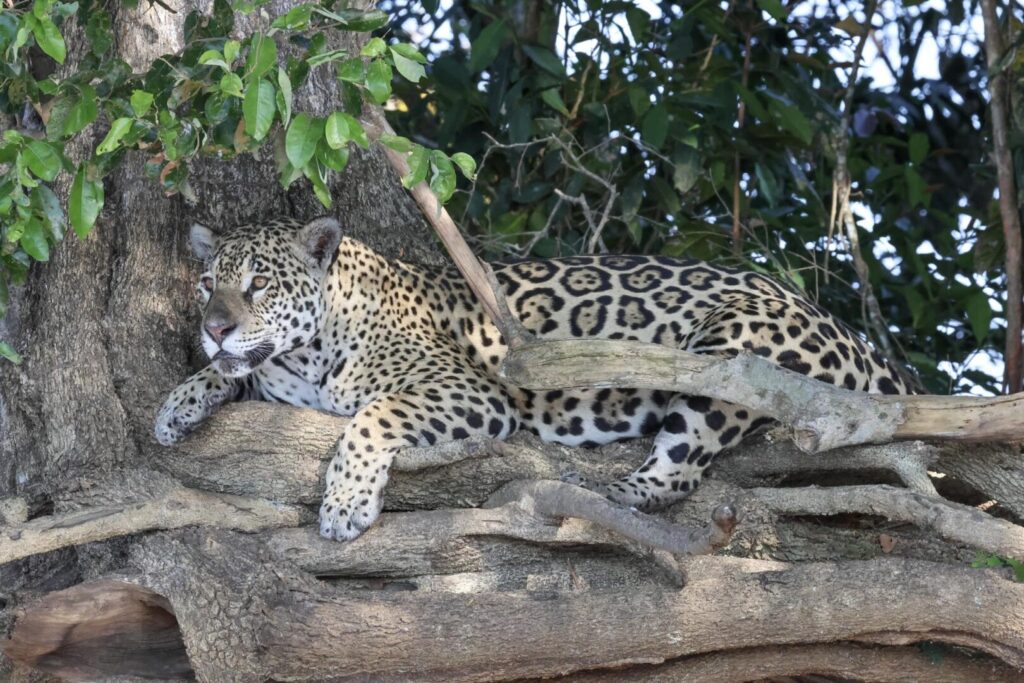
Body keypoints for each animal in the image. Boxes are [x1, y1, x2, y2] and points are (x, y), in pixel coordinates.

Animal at [155, 216, 910, 542]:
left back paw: (602, 489)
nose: (214, 326)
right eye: (208, 284)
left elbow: (372, 417)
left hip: (732, 349)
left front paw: (345, 505)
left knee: (679, 471)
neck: (305, 354)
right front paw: (178, 403)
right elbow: (227, 377)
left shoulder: (469, 392)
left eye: (259, 285)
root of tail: (853, 334)